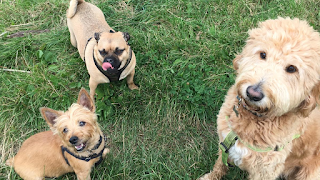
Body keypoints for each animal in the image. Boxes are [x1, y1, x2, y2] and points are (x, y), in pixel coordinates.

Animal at [200, 17, 320, 180]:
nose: (253, 93)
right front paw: (210, 176)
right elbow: (220, 164)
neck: (254, 118)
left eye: (291, 68)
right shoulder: (225, 142)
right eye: (263, 54)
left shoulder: (265, 171)